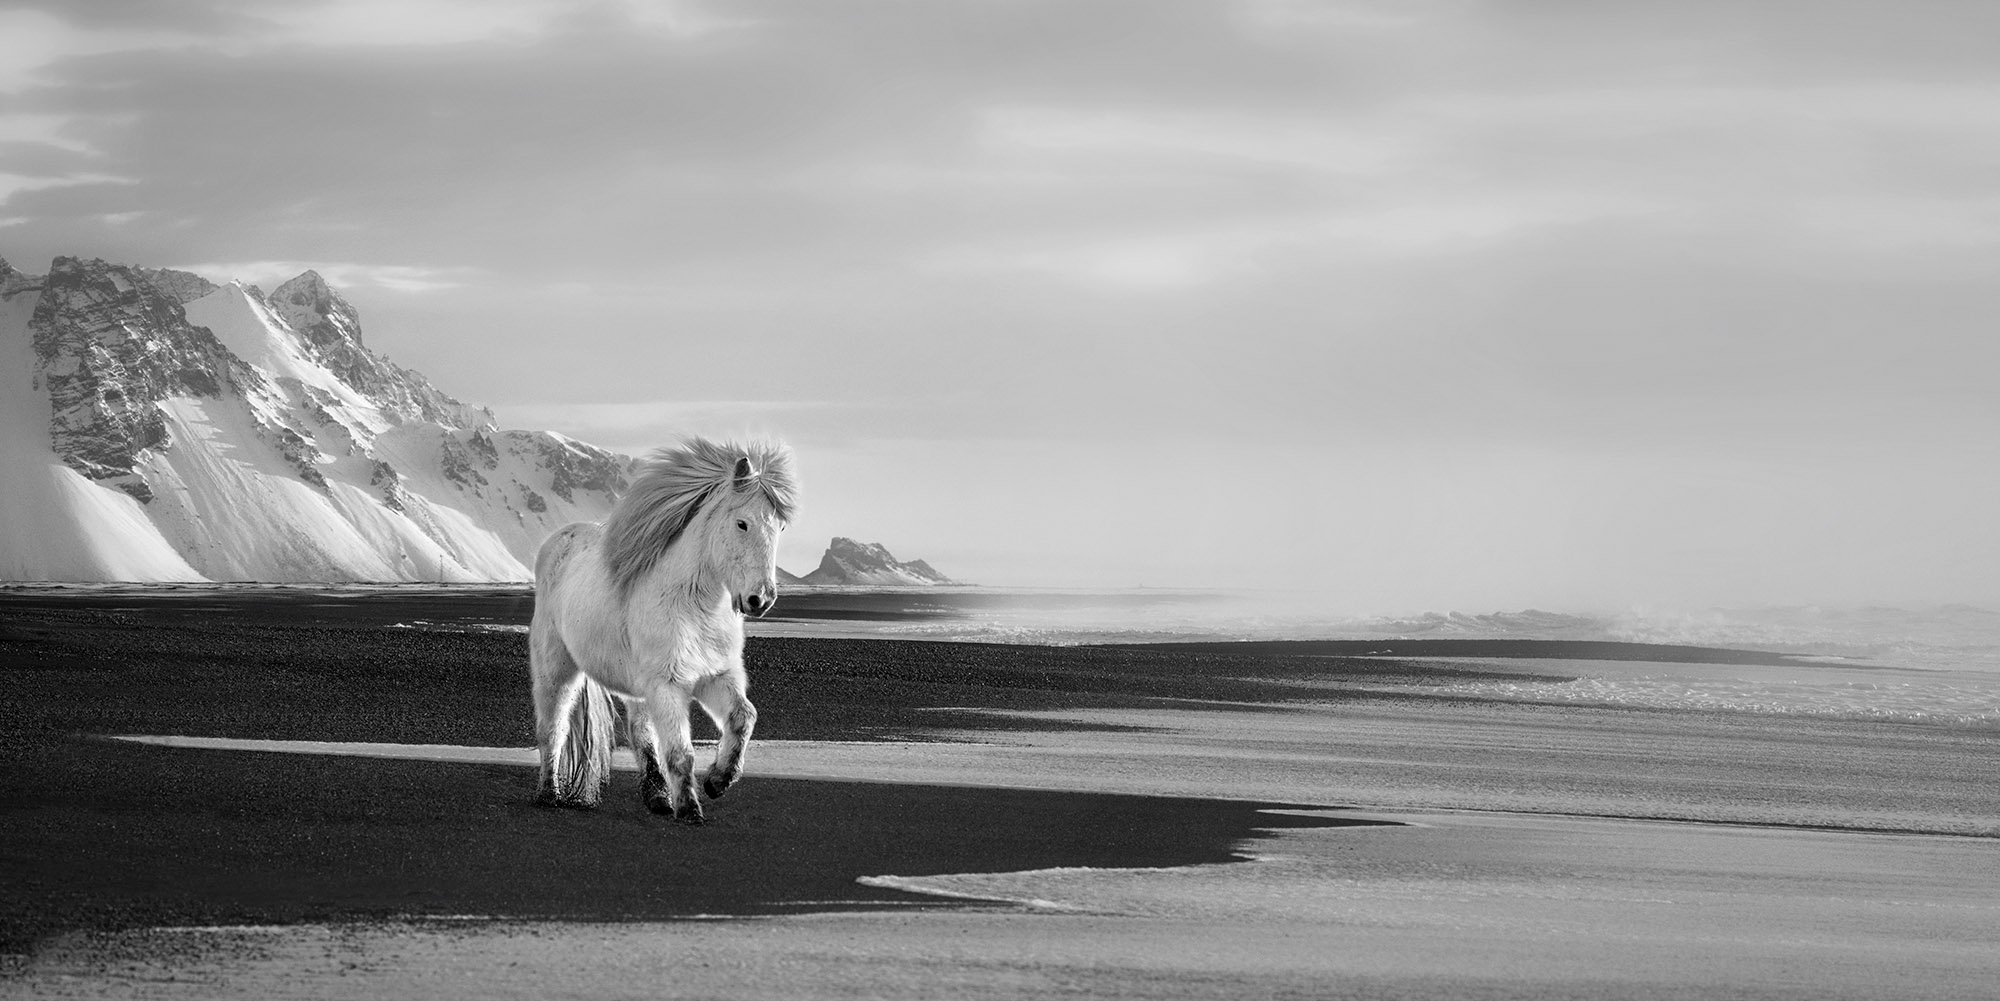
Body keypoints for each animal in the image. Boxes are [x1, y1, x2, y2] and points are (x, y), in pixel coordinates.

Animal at [529, 436, 798, 824]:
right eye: (742, 523)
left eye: (779, 527)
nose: (760, 599)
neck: (694, 608)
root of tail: (559, 539)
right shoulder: (668, 686)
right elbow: (681, 752)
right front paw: (690, 809)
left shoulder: (715, 677)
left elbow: (744, 717)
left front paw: (718, 781)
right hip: (556, 669)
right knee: (554, 727)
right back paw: (549, 793)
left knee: (639, 731)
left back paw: (657, 797)